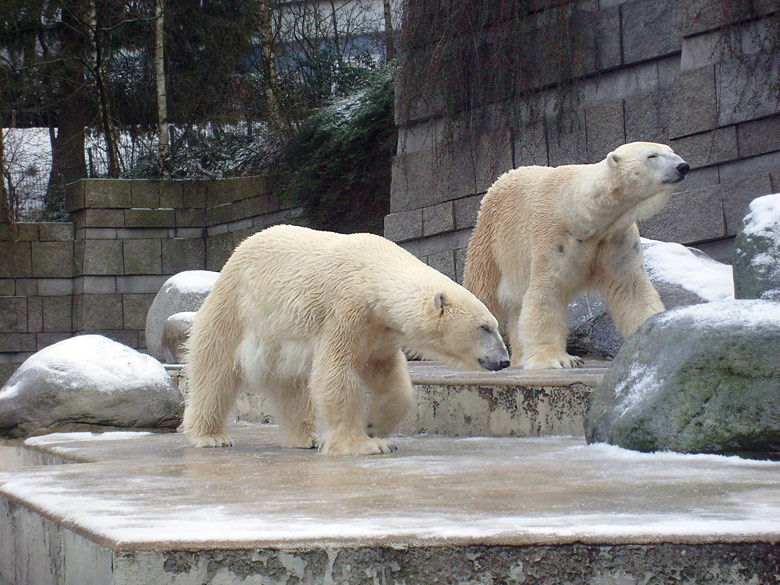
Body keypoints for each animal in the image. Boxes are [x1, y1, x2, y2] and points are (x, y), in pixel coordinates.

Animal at [184, 224, 512, 452]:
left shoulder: (379, 329)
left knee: (292, 386)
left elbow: (388, 376)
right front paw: (366, 443)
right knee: (214, 371)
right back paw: (211, 436)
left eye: (495, 325)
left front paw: (376, 425)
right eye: (484, 327)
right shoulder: (347, 309)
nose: (504, 360)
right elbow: (336, 372)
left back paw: (307, 437)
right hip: (235, 310)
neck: (376, 272)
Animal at [464, 141, 688, 368]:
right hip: (491, 243)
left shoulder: (616, 238)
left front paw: (659, 334)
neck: (583, 214)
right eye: (652, 156)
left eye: (671, 151)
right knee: (482, 291)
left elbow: (632, 288)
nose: (683, 166)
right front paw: (559, 359)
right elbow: (546, 292)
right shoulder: (554, 237)